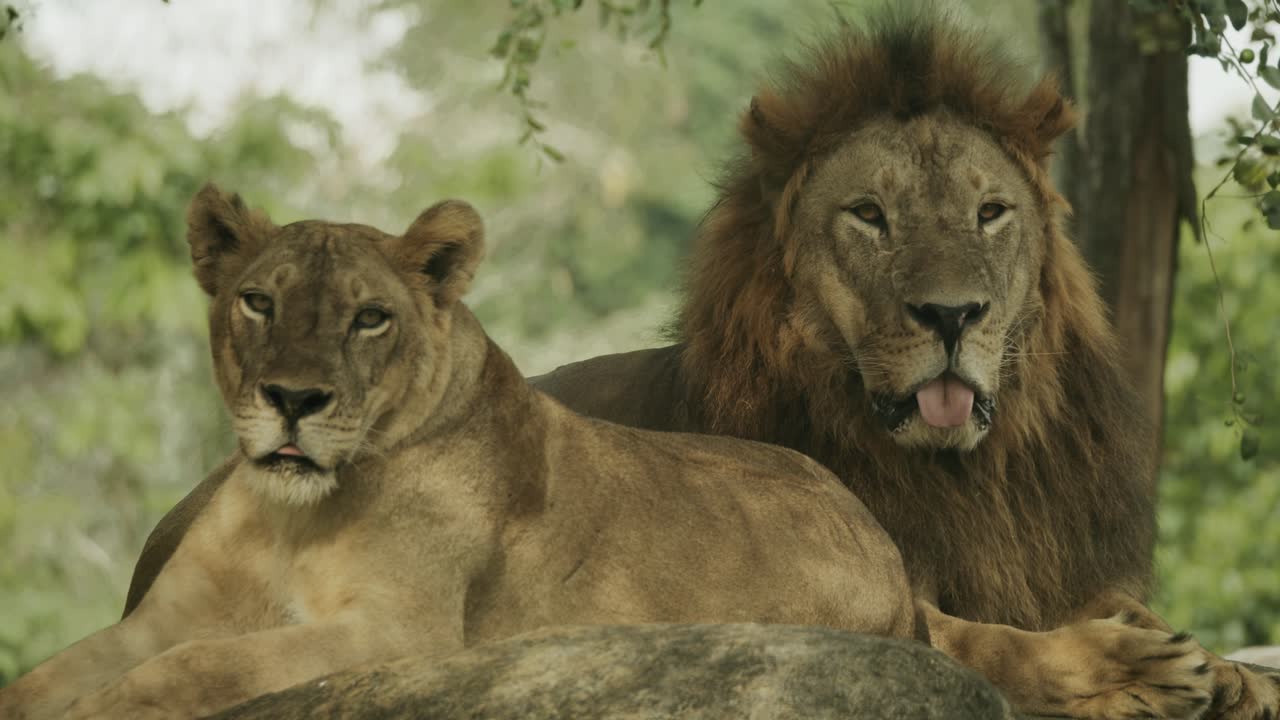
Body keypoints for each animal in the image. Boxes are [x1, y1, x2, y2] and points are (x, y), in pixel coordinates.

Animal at [0, 186, 918, 718]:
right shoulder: (163, 616)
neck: (289, 518)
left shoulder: (403, 635)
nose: (292, 400)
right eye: (258, 302)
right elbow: (48, 677)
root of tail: (889, 545)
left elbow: (195, 668)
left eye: (370, 318)